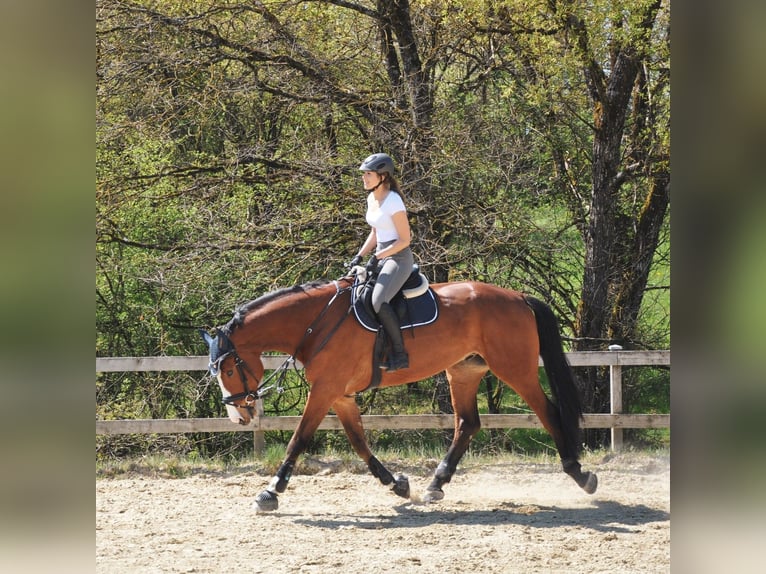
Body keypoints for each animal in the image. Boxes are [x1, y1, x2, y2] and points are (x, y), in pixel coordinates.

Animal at [202, 278, 600, 512]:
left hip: (515, 370)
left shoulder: (325, 391)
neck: (315, 323)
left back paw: (579, 473)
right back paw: (436, 484)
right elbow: (359, 443)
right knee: (467, 424)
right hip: (464, 371)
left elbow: (299, 439)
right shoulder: (340, 395)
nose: (238, 416)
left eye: (227, 370)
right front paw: (397, 484)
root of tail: (517, 296)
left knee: (549, 413)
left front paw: (271, 491)